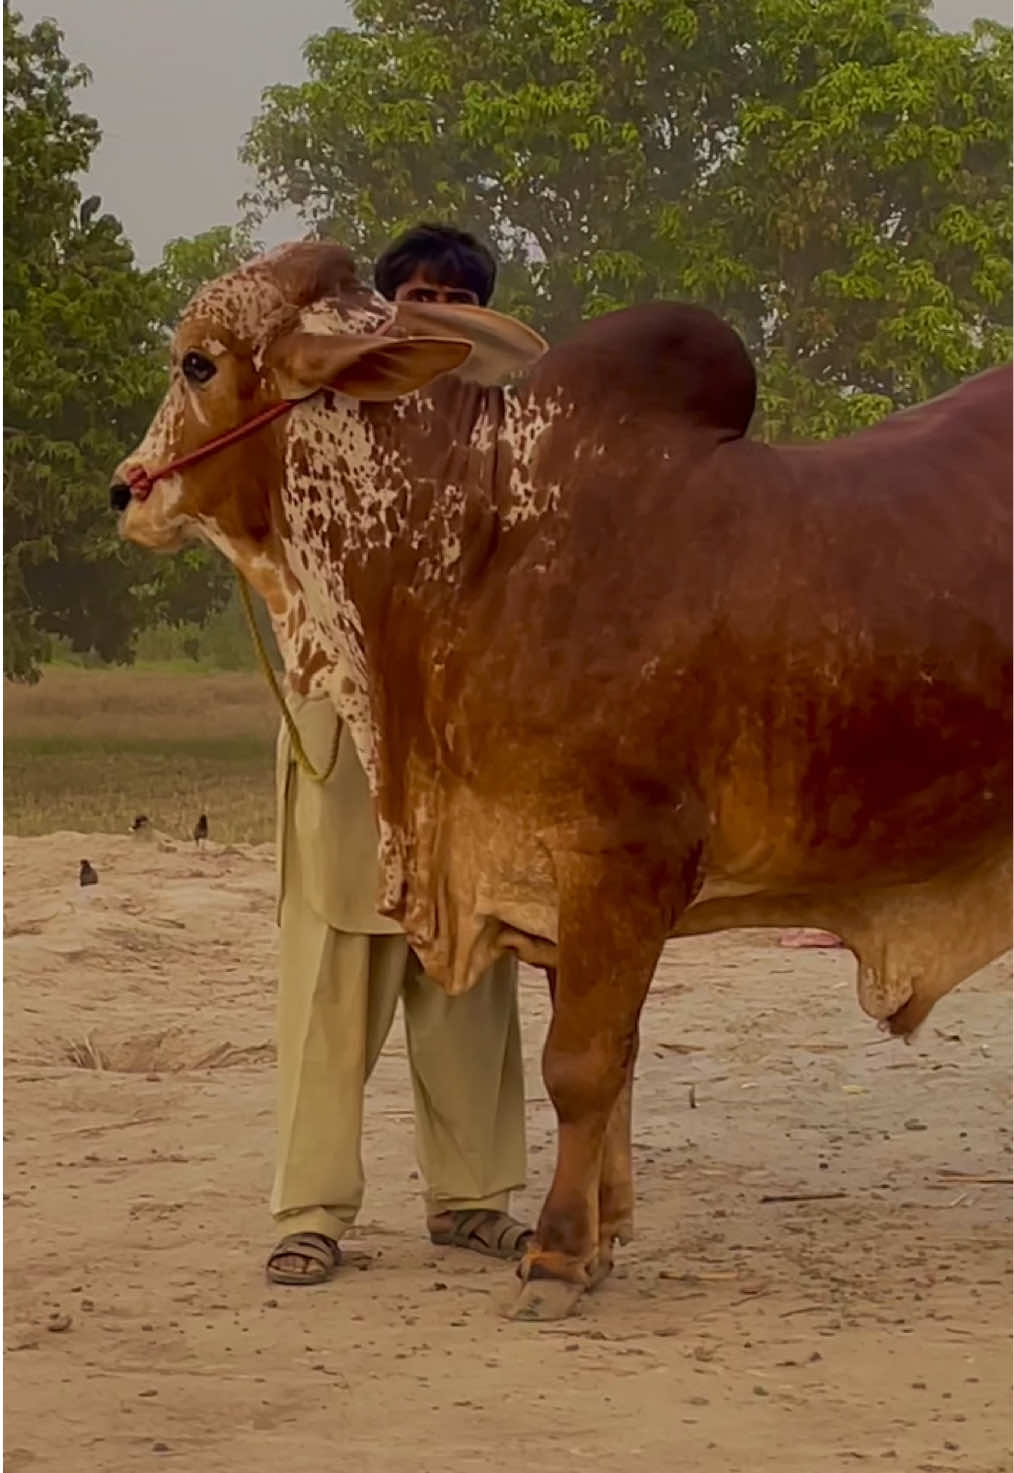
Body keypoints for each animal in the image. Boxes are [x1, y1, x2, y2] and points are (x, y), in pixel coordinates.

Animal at [112, 241, 1012, 1321]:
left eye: (198, 363)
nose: (125, 489)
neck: (478, 540)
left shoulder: (618, 858)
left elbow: (579, 1067)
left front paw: (554, 1256)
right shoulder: (547, 875)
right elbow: (613, 1061)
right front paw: (603, 1238)